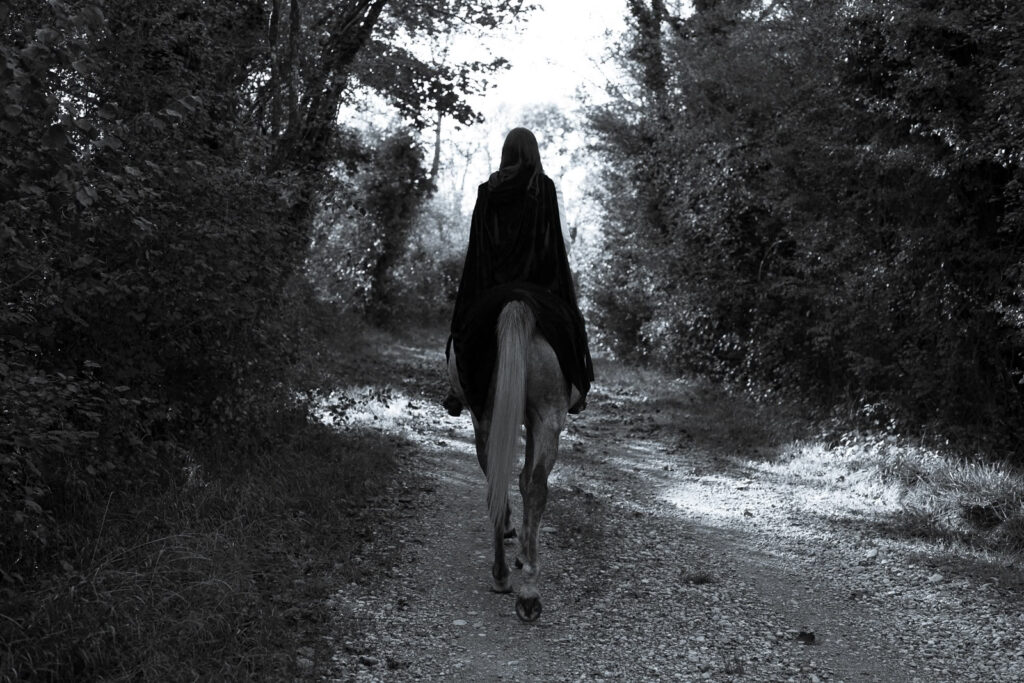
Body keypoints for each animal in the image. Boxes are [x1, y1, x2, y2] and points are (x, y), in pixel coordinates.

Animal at [447, 300, 578, 622]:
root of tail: (518, 305)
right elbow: (524, 479)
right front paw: (522, 550)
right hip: (546, 416)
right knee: (534, 487)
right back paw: (525, 591)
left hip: (490, 418)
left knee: (504, 483)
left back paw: (505, 577)